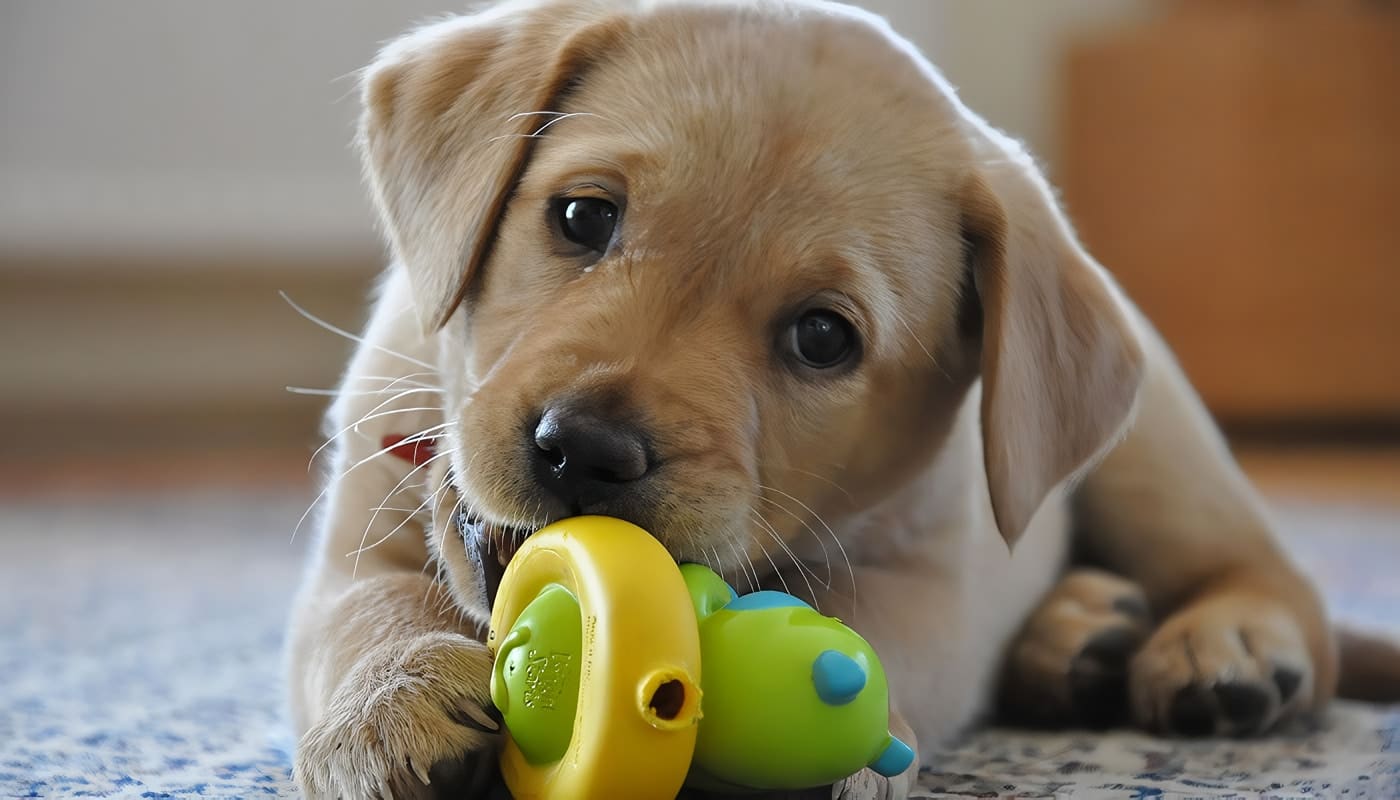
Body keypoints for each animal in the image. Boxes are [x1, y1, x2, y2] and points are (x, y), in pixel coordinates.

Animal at [284, 1, 1388, 800]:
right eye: (581, 217)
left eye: (822, 337)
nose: (586, 450)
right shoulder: (362, 529)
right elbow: (372, 607)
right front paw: (391, 706)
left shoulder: (930, 580)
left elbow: (863, 628)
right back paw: (1077, 636)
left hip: (1156, 454)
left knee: (1273, 579)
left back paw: (1223, 646)